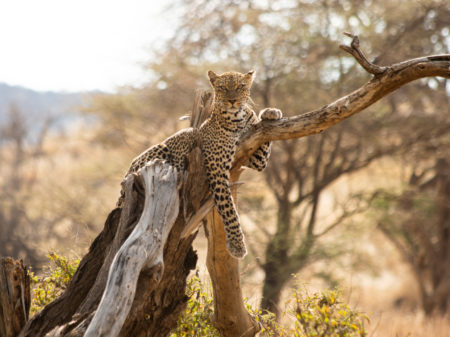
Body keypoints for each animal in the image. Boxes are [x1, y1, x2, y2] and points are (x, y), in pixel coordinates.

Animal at [118, 69, 284, 256]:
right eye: (223, 87)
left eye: (241, 86)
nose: (232, 101)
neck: (237, 119)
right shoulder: (218, 170)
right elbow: (228, 209)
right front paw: (237, 245)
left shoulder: (255, 158)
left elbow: (262, 136)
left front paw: (270, 112)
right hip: (172, 143)